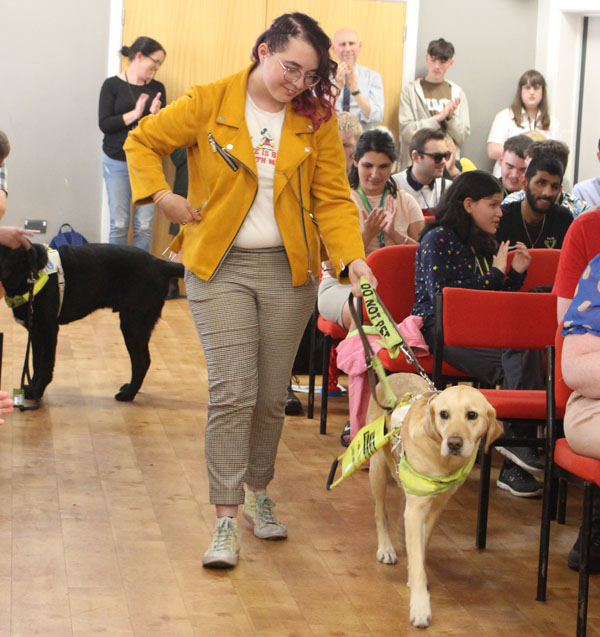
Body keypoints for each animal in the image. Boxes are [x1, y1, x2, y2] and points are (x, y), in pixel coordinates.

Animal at [0, 241, 183, 400]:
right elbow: (36, 363)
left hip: (132, 324)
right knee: (145, 360)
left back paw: (128, 395)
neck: (28, 276)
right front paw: (32, 389)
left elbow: (45, 366)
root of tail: (159, 263)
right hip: (140, 326)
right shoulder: (36, 332)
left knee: (141, 362)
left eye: (10, 251)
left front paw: (37, 392)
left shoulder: (49, 330)